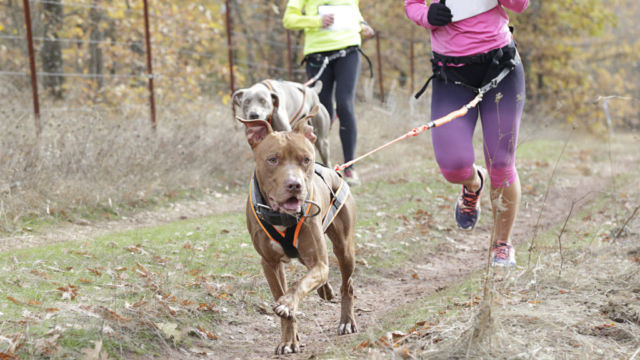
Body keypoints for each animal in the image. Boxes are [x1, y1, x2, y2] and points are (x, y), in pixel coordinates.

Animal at [236, 105, 358, 352]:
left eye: (306, 159)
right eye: (272, 159)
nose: (295, 185)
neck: (281, 215)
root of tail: (334, 170)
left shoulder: (319, 262)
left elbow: (299, 284)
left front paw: (288, 305)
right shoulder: (270, 264)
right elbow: (283, 298)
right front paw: (288, 339)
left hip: (344, 248)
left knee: (347, 284)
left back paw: (346, 321)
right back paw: (324, 290)